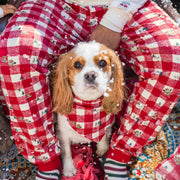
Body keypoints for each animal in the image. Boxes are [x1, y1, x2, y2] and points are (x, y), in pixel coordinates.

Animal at [52, 41, 124, 177]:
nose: (90, 75)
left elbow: (105, 134)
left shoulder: (108, 124)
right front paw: (69, 169)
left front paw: (102, 148)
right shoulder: (62, 133)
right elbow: (67, 151)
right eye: (77, 64)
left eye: (102, 63)